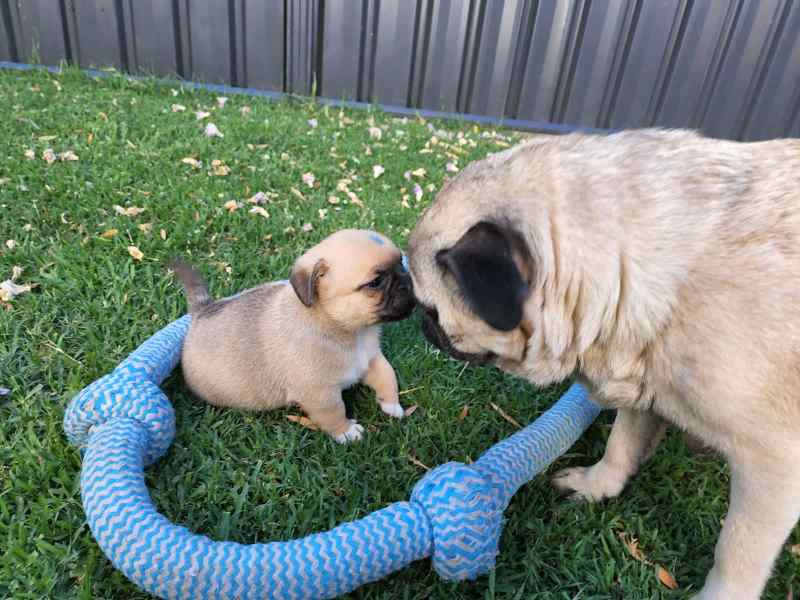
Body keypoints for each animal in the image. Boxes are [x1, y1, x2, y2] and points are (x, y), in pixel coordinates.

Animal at [173, 232, 416, 442]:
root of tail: (202, 311)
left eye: (401, 262)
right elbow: (335, 412)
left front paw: (392, 406)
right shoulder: (320, 394)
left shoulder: (371, 360)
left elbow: (387, 376)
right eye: (375, 283)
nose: (409, 280)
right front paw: (346, 433)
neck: (349, 330)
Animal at [410, 131, 796, 600]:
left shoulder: (773, 466)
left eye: (431, 309)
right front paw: (597, 487)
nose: (420, 324)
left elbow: (736, 552)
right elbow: (621, 446)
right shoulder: (642, 381)